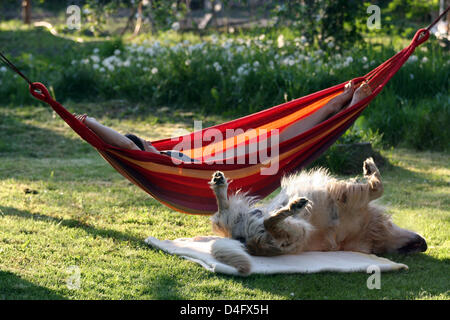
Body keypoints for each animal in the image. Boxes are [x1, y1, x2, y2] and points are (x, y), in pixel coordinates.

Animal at [209, 159, 428, 274]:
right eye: (408, 249)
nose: (425, 245)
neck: (372, 232)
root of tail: (243, 241)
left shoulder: (348, 197)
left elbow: (378, 188)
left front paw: (371, 169)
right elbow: (378, 188)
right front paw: (371, 168)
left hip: (298, 232)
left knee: (269, 221)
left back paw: (294, 206)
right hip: (242, 214)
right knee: (223, 211)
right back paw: (220, 184)